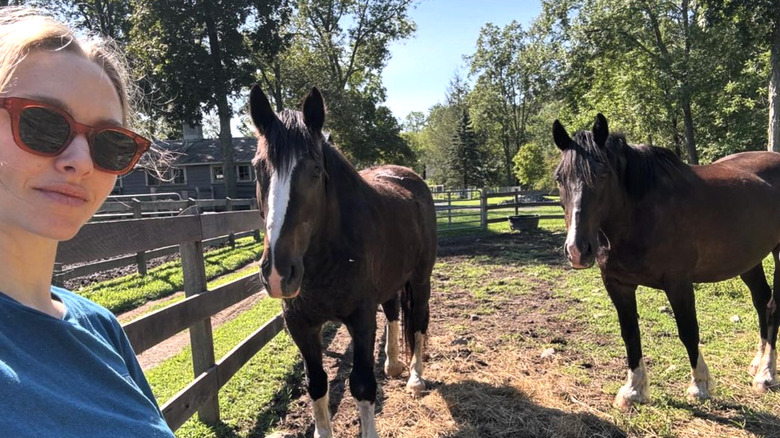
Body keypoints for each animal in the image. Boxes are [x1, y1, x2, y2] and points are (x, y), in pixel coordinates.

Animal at [250, 84, 436, 436]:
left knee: (418, 321)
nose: (278, 273)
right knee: (393, 312)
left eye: (315, 170)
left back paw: (416, 378)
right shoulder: (300, 324)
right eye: (256, 168)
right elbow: (317, 384)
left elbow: (362, 385)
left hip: (420, 281)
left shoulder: (360, 319)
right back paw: (393, 364)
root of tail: (410, 178)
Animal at [552, 113, 780, 410]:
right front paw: (633, 390)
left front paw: (700, 386)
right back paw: (758, 363)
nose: (578, 250)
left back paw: (766, 375)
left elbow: (688, 330)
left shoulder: (678, 282)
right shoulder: (617, 284)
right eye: (559, 178)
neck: (640, 213)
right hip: (749, 259)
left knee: (773, 307)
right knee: (761, 300)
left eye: (602, 174)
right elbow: (630, 333)